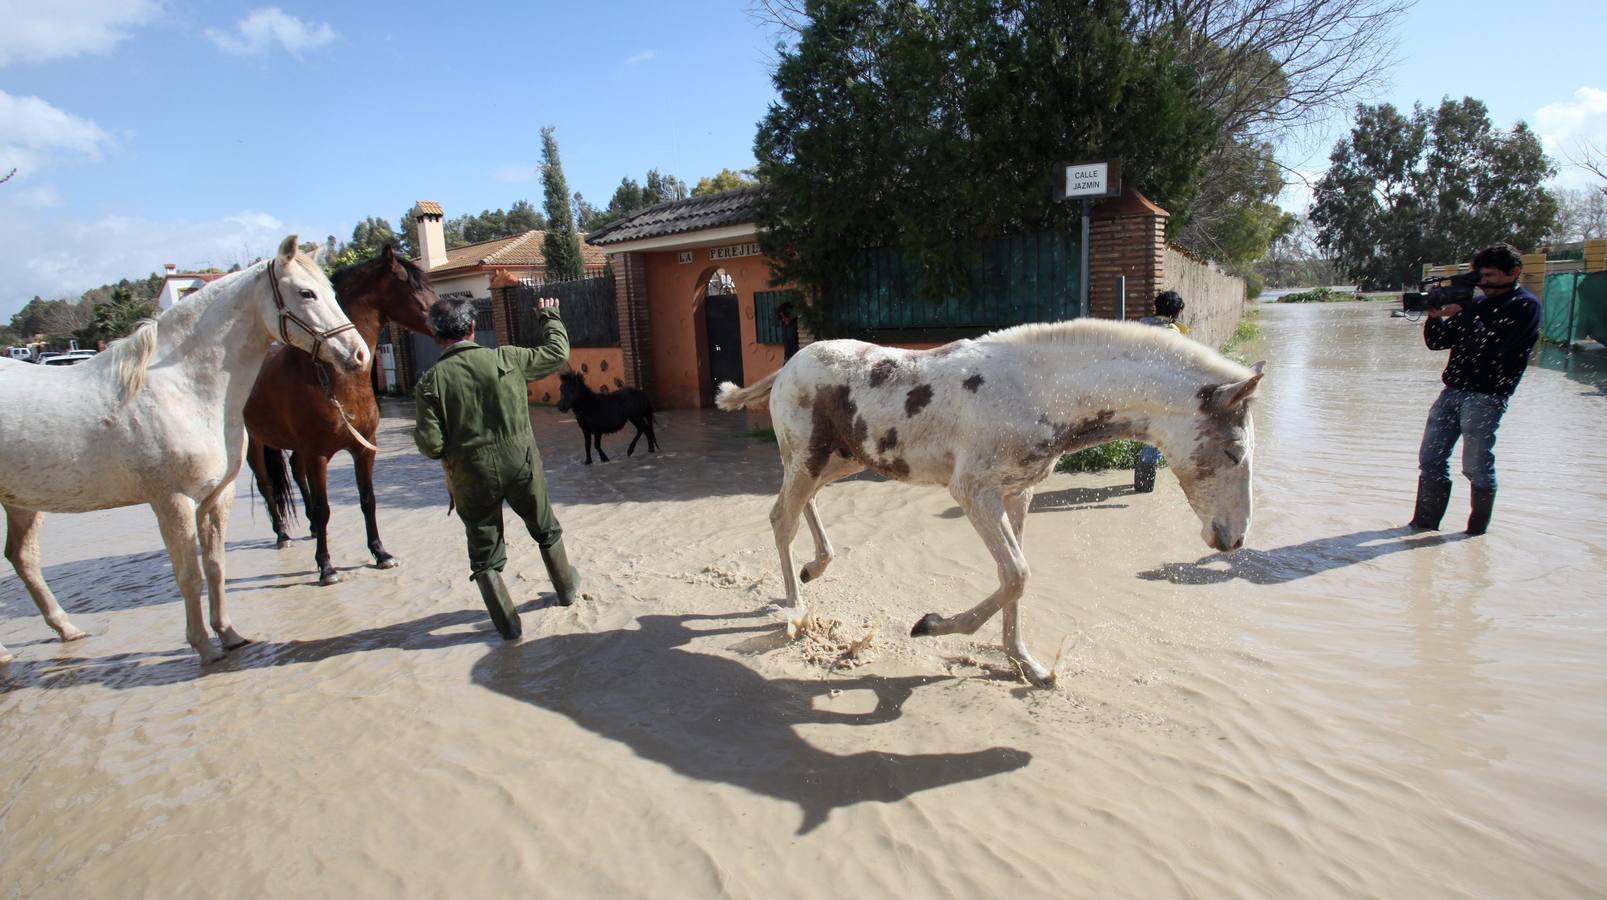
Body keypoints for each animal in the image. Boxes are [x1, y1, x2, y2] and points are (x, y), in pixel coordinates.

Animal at [0, 236, 368, 665]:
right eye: (306, 293)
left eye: (333, 292)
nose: (359, 354)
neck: (184, 387)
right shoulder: (171, 501)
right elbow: (189, 575)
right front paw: (204, 646)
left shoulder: (216, 496)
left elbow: (215, 566)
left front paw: (229, 634)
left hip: (22, 503)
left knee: (23, 559)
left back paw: (67, 629)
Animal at [244, 244, 437, 585]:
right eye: (414, 287)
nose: (456, 317)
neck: (332, 378)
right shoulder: (318, 454)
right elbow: (325, 508)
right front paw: (326, 567)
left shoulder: (364, 448)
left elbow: (368, 500)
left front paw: (380, 553)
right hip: (256, 442)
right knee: (267, 485)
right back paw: (282, 535)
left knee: (296, 473)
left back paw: (309, 528)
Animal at [719, 319, 1266, 684]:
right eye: (1235, 453)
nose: (1233, 539)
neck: (1039, 390)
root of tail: (786, 366)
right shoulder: (973, 491)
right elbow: (1017, 574)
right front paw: (930, 626)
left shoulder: (1017, 493)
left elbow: (1015, 580)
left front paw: (1027, 665)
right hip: (810, 455)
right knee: (781, 516)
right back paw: (796, 609)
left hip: (841, 459)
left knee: (801, 503)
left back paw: (816, 566)